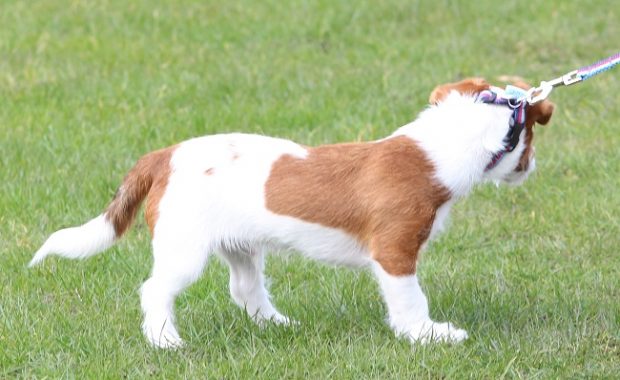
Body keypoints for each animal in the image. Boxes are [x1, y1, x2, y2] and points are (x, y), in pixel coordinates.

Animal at [29, 78, 556, 348]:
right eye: (528, 138)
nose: (532, 168)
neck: (436, 147)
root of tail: (163, 155)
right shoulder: (395, 251)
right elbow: (411, 301)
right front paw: (428, 335)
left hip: (239, 245)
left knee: (243, 289)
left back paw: (276, 325)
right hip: (184, 250)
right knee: (155, 290)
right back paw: (165, 341)